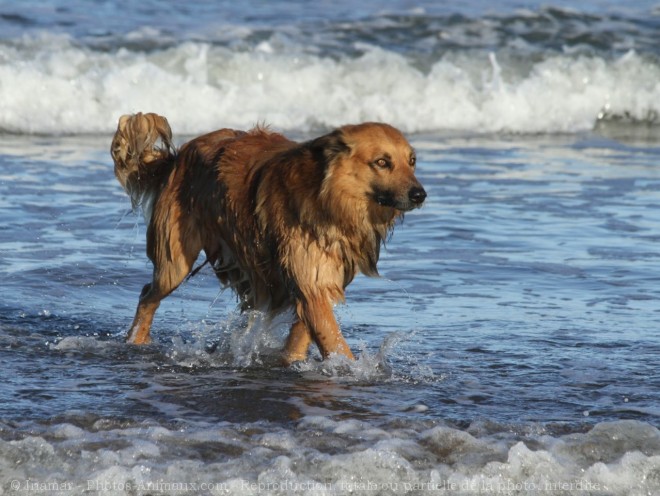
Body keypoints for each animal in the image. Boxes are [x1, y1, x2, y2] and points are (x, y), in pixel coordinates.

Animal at [111, 113, 426, 364]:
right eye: (382, 162)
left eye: (411, 162)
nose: (420, 195)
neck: (328, 199)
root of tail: (179, 156)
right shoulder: (311, 283)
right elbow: (333, 340)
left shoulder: (316, 283)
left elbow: (302, 335)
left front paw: (292, 360)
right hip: (174, 262)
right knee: (147, 295)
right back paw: (136, 340)